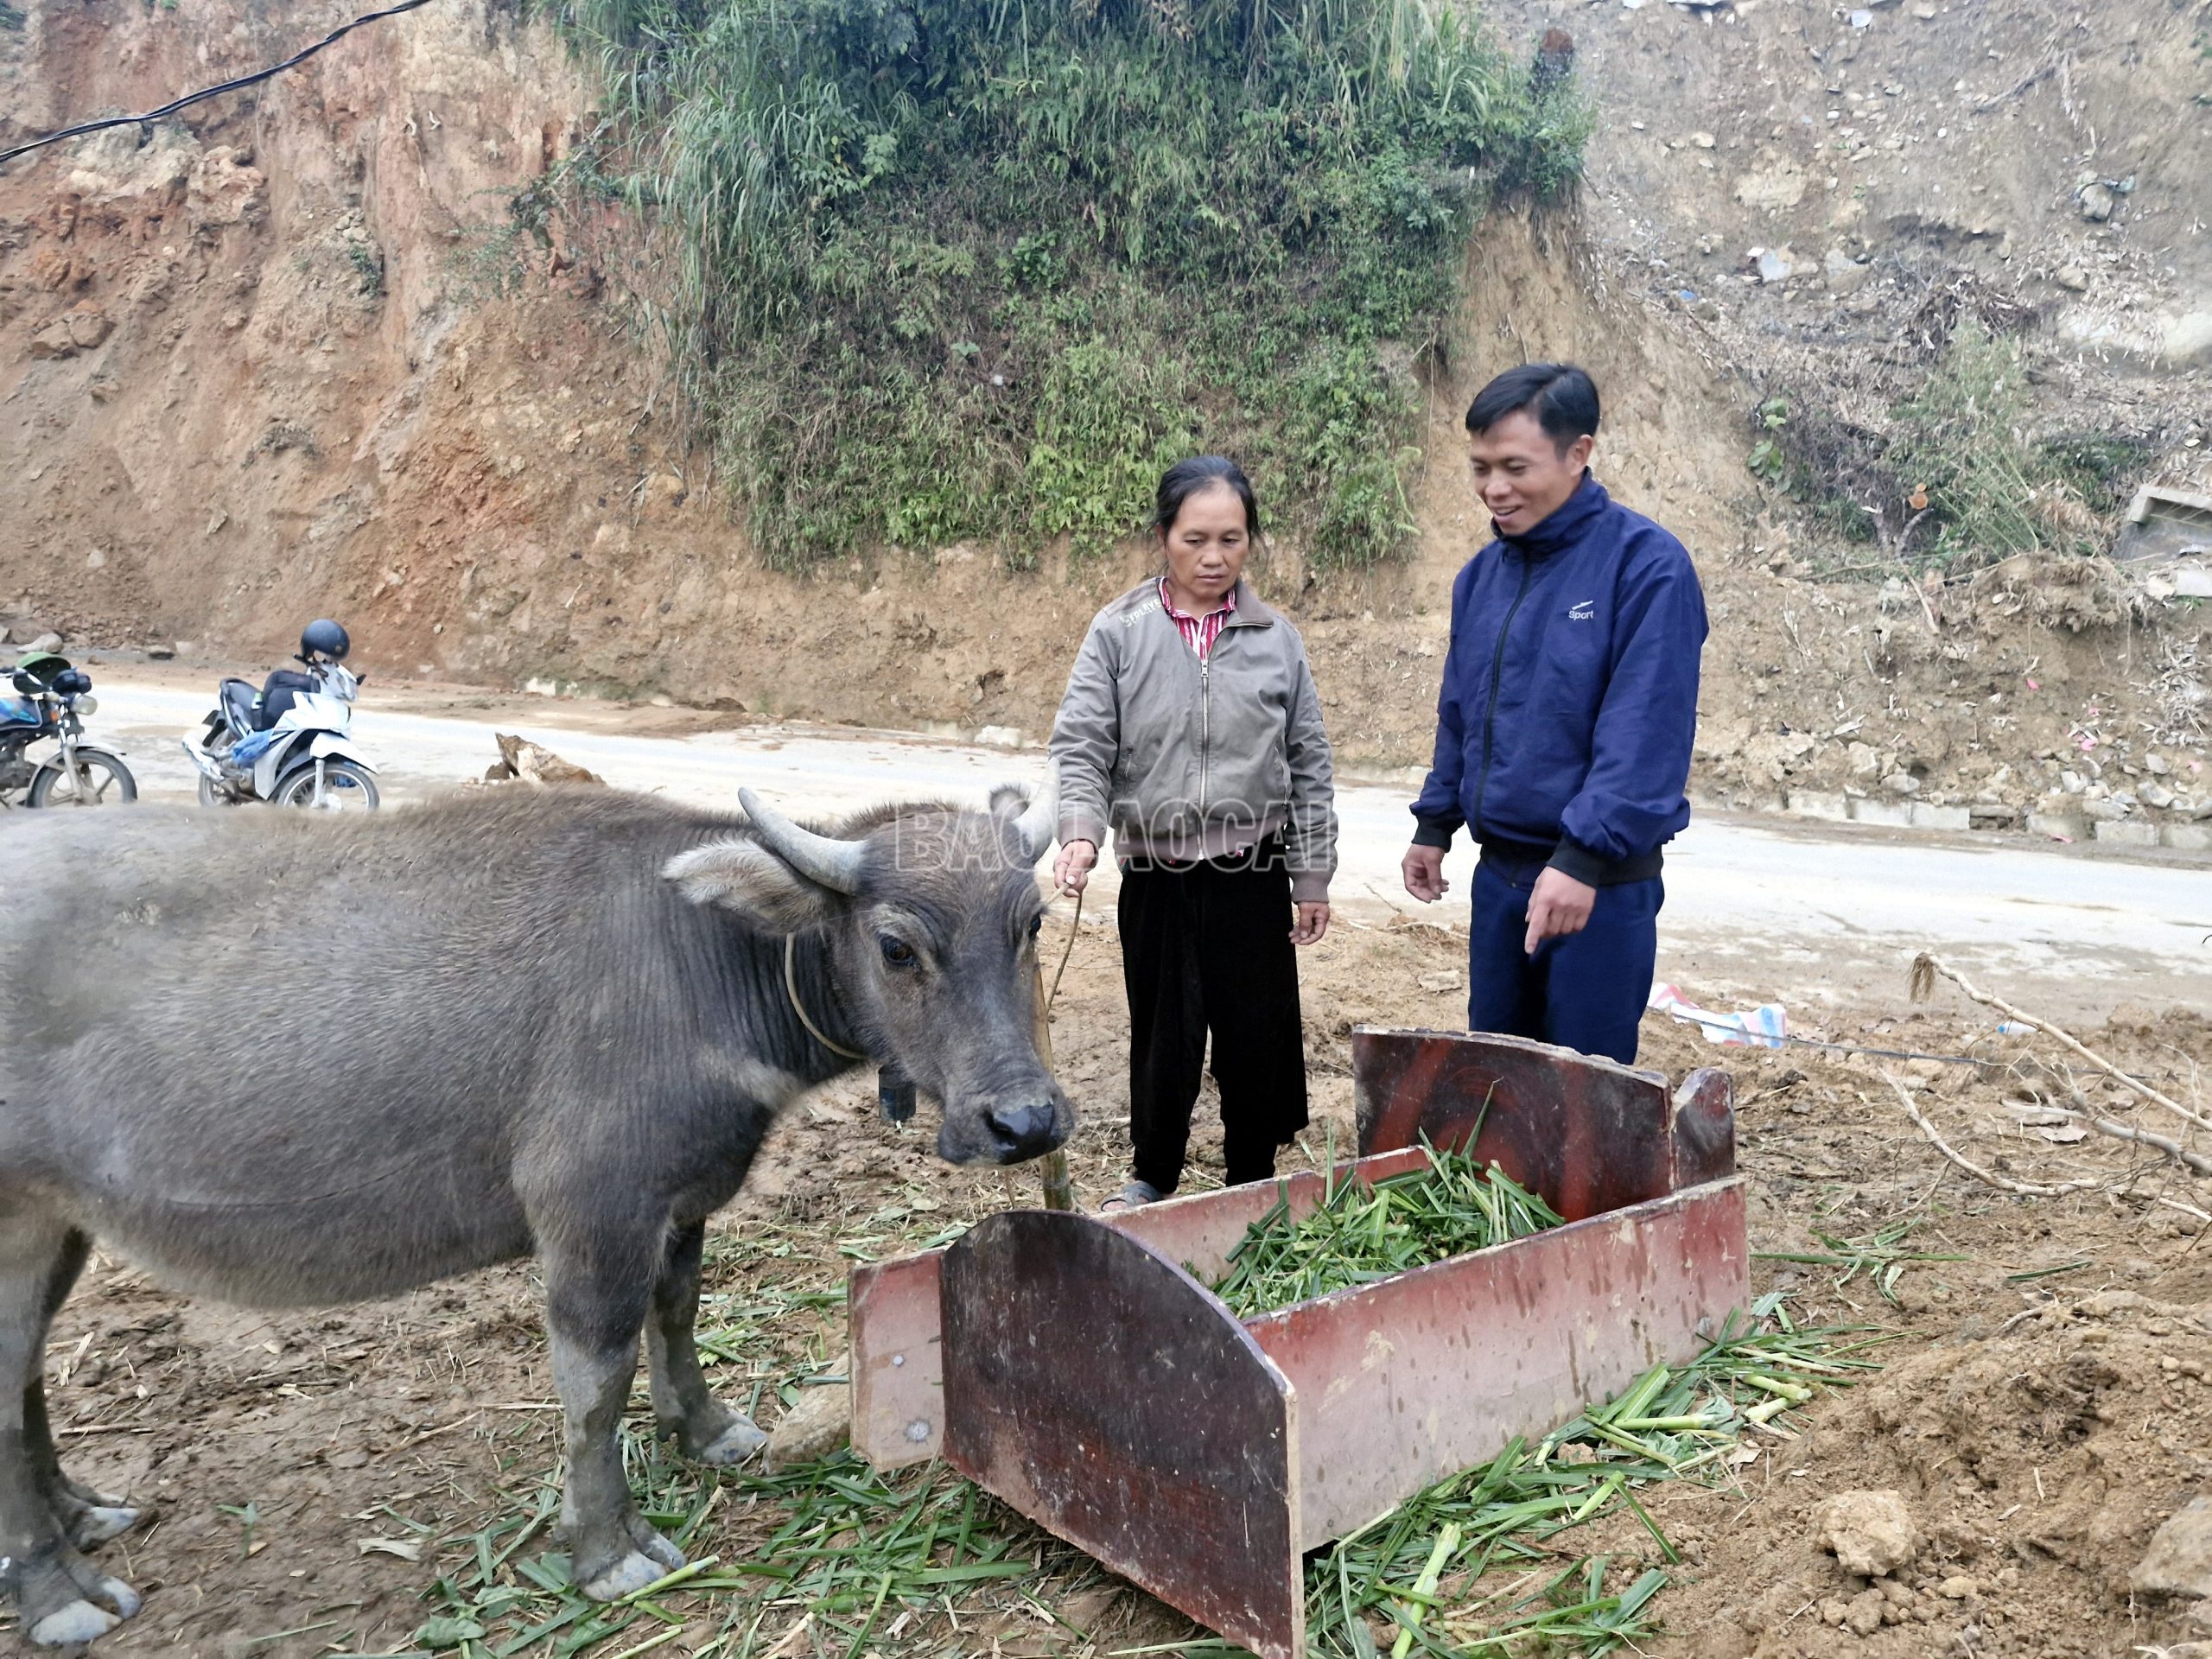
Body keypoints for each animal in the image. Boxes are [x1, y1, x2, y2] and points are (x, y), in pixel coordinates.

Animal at [0, 787, 1071, 1654]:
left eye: (1031, 921)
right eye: (896, 946)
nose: (1024, 1123)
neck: (702, 966)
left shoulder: (679, 1200)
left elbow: (677, 1313)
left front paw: (708, 1432)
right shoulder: (590, 1216)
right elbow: (594, 1385)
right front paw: (607, 1550)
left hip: (62, 1226)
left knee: (28, 1382)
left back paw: (82, 1515)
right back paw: (62, 1597)